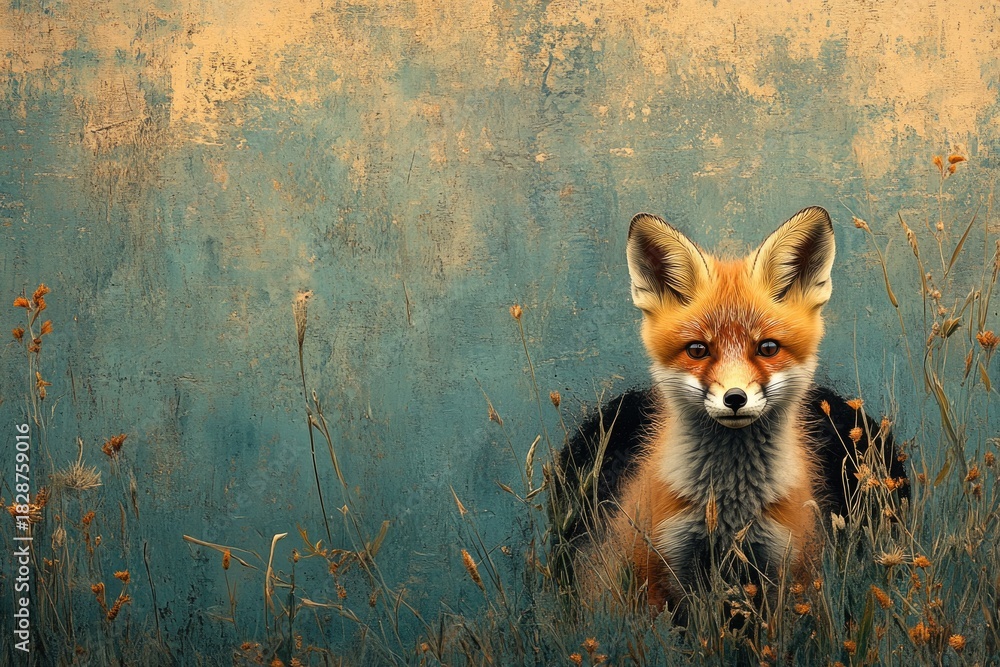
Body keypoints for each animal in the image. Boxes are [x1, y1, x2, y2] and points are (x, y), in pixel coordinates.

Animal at [560, 207, 908, 616]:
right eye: (697, 350)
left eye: (768, 348)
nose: (735, 398)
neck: (730, 512)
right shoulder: (666, 566)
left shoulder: (786, 566)